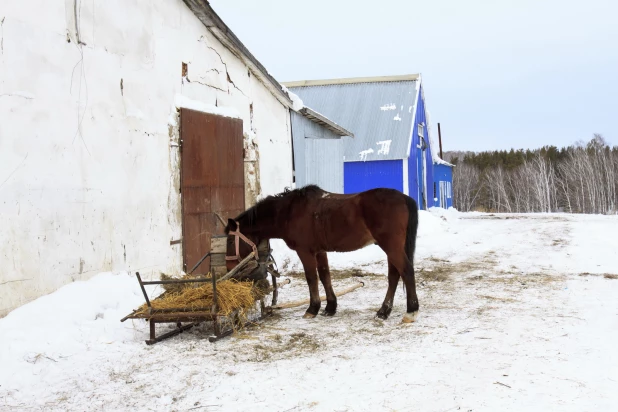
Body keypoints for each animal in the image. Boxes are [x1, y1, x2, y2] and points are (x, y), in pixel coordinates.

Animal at [224, 185, 422, 324]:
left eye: (230, 241)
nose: (229, 267)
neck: (289, 213)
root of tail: (404, 198)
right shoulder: (320, 251)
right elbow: (325, 275)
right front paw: (330, 307)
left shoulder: (305, 252)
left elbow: (312, 278)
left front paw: (313, 309)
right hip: (391, 248)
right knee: (394, 276)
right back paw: (383, 311)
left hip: (391, 246)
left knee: (406, 272)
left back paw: (411, 311)